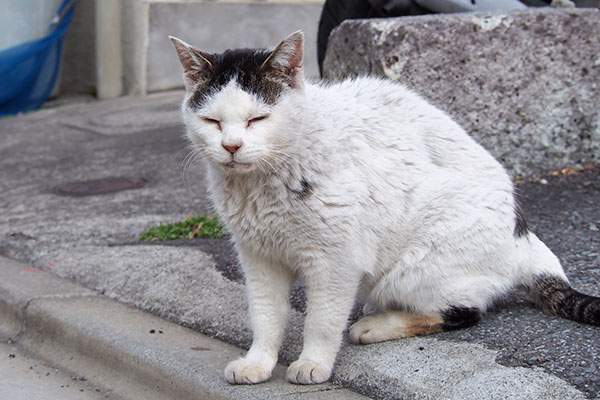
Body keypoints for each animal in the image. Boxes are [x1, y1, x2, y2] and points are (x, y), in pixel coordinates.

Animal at [169, 31, 600, 384]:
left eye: (258, 118)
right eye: (212, 121)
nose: (231, 146)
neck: (260, 184)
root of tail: (522, 232)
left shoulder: (336, 260)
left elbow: (322, 320)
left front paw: (313, 363)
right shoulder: (258, 258)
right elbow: (265, 316)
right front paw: (258, 363)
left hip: (415, 267)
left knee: (463, 311)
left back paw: (373, 326)